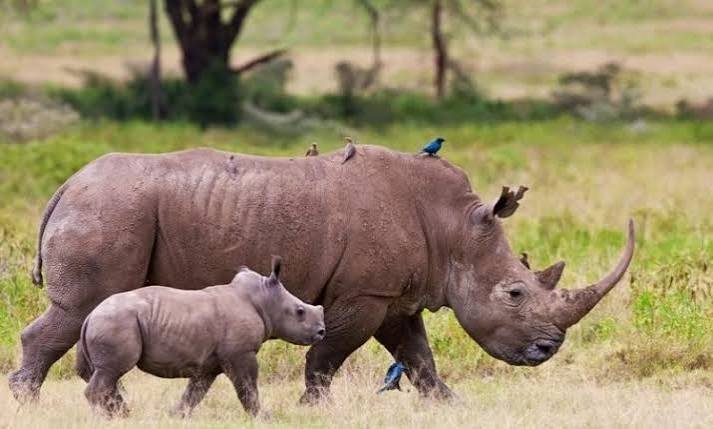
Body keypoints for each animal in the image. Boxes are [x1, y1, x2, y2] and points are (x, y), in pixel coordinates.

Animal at [76, 256, 325, 418]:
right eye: (300, 311)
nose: (321, 331)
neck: (263, 299)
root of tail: (90, 316)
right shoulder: (241, 353)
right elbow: (247, 386)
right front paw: (263, 417)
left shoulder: (208, 362)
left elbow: (195, 392)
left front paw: (176, 416)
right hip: (116, 322)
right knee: (112, 371)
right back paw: (108, 418)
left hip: (111, 321)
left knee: (107, 374)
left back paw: (124, 415)